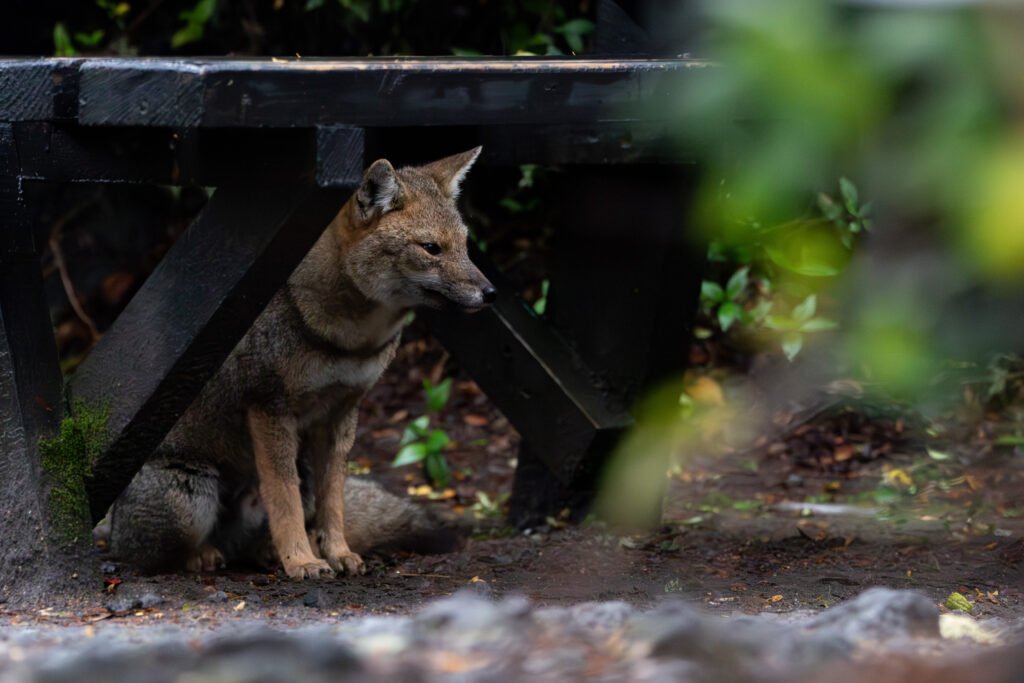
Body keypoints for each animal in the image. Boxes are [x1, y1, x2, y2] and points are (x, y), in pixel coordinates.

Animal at [105, 147, 495, 579]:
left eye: (465, 246)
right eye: (431, 248)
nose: (490, 292)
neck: (351, 341)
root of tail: (111, 523)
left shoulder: (343, 411)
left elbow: (333, 500)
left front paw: (337, 552)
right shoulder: (268, 406)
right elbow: (283, 496)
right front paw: (302, 560)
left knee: (255, 542)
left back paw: (268, 552)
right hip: (190, 503)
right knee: (150, 555)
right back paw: (206, 555)